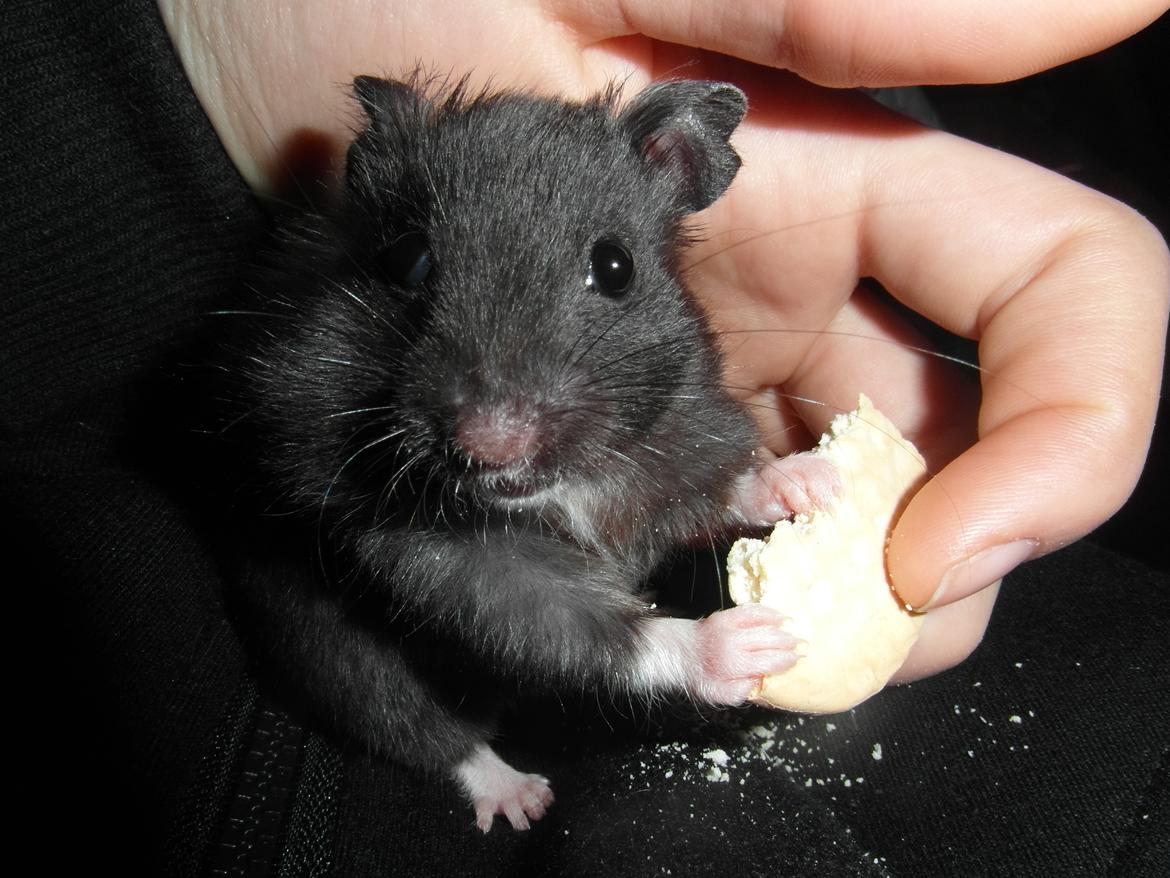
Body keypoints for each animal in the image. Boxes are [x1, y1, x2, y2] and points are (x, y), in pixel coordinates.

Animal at [224, 75, 837, 832]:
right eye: (408, 261)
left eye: (615, 266)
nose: (491, 446)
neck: (561, 492)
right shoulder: (436, 554)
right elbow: (572, 628)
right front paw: (752, 645)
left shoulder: (670, 433)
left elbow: (715, 485)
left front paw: (813, 480)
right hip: (343, 662)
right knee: (425, 731)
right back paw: (524, 801)